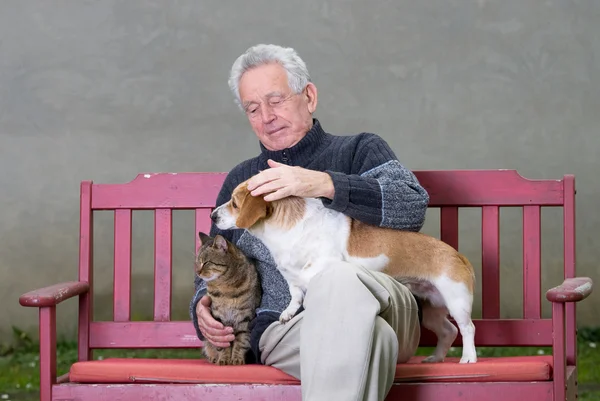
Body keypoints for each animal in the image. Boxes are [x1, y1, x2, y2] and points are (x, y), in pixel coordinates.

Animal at [195, 231, 260, 366]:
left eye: (206, 262)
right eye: (197, 262)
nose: (197, 272)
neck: (226, 289)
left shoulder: (245, 317)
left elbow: (241, 341)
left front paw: (237, 359)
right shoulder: (219, 319)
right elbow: (223, 346)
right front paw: (224, 359)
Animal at [212, 178, 478, 362]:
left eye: (235, 203)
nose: (213, 215)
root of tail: (458, 255)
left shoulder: (325, 261)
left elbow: (307, 276)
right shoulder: (291, 278)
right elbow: (295, 293)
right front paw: (289, 312)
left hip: (457, 301)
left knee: (467, 329)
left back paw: (468, 357)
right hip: (433, 310)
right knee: (448, 331)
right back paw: (437, 357)